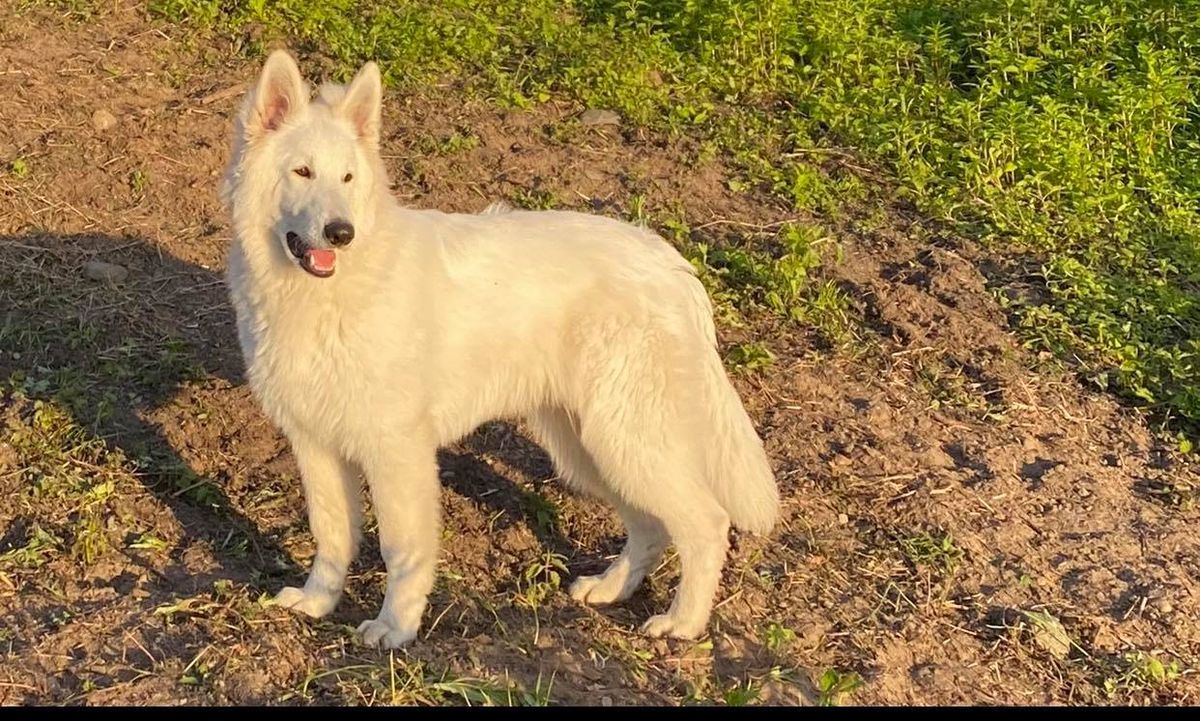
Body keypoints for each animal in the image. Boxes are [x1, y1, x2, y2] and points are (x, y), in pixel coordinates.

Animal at [222, 50, 777, 647]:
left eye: (348, 177)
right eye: (302, 172)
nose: (341, 232)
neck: (329, 292)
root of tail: (671, 264)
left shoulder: (397, 451)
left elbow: (402, 550)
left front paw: (396, 627)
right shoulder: (316, 445)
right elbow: (332, 533)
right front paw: (319, 602)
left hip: (625, 440)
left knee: (706, 523)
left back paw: (682, 623)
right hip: (588, 448)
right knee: (651, 525)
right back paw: (610, 589)